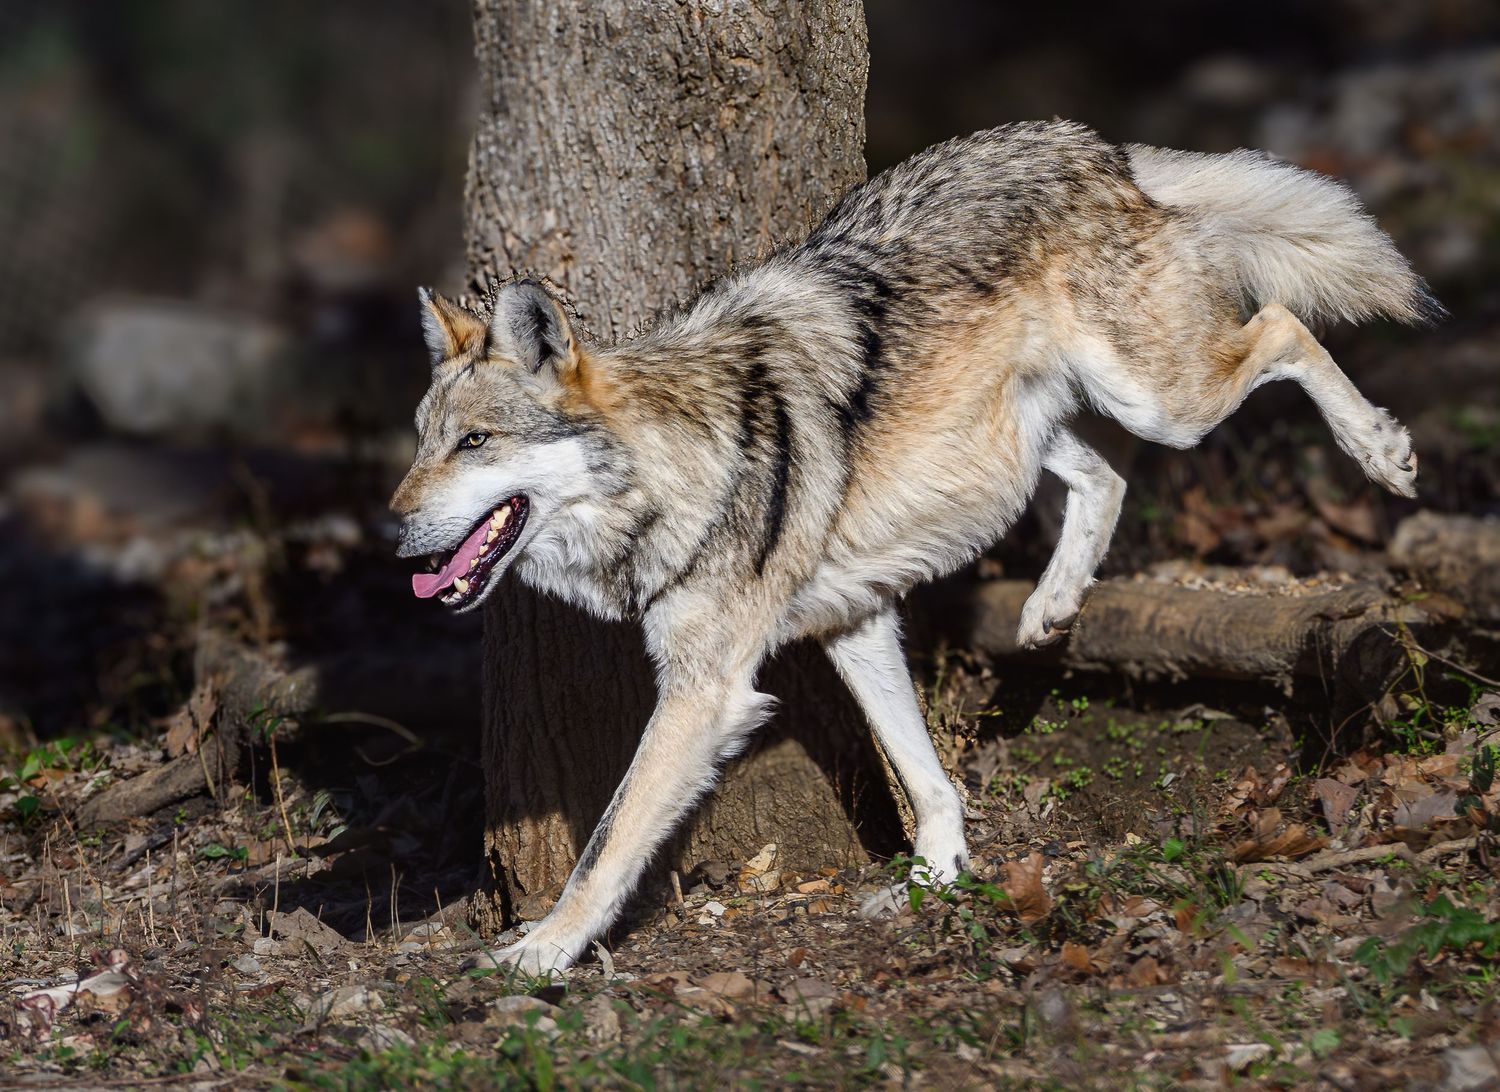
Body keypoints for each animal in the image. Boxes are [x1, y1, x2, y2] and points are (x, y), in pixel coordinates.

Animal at [390, 120, 1437, 973]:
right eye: (422, 441)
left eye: (475, 442)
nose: (394, 529)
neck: (682, 465)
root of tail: (1091, 143)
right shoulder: (852, 622)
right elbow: (924, 773)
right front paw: (938, 875)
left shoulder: (703, 692)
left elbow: (605, 843)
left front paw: (540, 952)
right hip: (1028, 434)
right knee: (1108, 477)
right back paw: (1050, 608)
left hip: (1162, 402)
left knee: (1281, 328)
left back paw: (1382, 452)